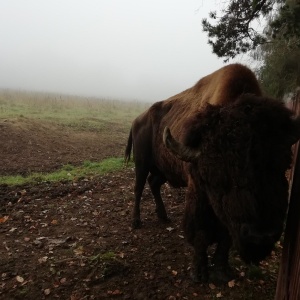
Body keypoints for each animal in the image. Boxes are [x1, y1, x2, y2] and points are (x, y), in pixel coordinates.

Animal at [123, 63, 300, 284]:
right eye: (216, 177)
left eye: (283, 164)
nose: (261, 237)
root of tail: (137, 119)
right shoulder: (198, 194)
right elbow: (201, 234)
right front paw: (199, 273)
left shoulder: (228, 217)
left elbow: (225, 237)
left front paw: (222, 271)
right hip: (142, 162)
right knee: (138, 188)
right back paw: (136, 221)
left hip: (163, 169)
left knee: (153, 183)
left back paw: (163, 217)